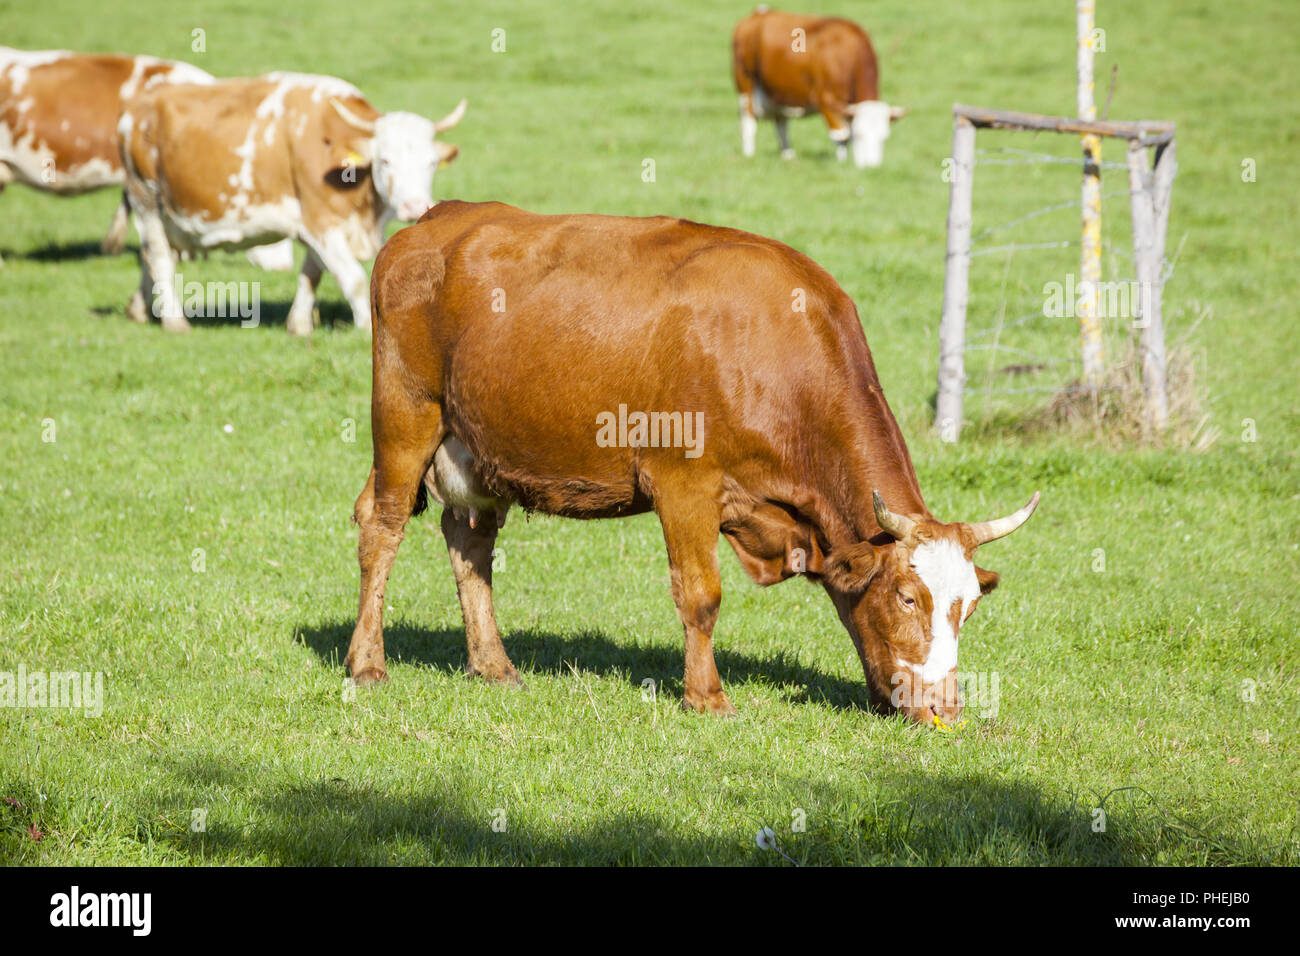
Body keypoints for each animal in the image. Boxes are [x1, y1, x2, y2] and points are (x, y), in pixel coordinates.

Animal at [117, 72, 465, 333]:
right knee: (160, 257)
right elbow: (352, 278)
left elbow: (312, 272)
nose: (414, 205)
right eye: (385, 160)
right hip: (146, 199)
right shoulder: (320, 220)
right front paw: (367, 326)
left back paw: (140, 308)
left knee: (151, 257)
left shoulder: (316, 224)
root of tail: (137, 110)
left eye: (432, 163)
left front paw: (299, 324)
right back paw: (174, 321)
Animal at [344, 200, 1040, 725]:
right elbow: (701, 595)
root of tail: (438, 218)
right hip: (406, 416)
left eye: (969, 607)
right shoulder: (683, 483)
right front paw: (706, 697)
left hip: (474, 448)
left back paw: (494, 665)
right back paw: (368, 663)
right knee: (382, 527)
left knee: (471, 542)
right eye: (906, 597)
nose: (946, 711)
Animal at [731, 7, 907, 167]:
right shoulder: (826, 99)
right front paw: (842, 164)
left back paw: (788, 155)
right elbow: (841, 135)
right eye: (860, 134)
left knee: (781, 122)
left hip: (777, 91)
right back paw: (749, 155)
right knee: (748, 123)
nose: (871, 168)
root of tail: (759, 12)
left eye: (884, 137)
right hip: (746, 85)